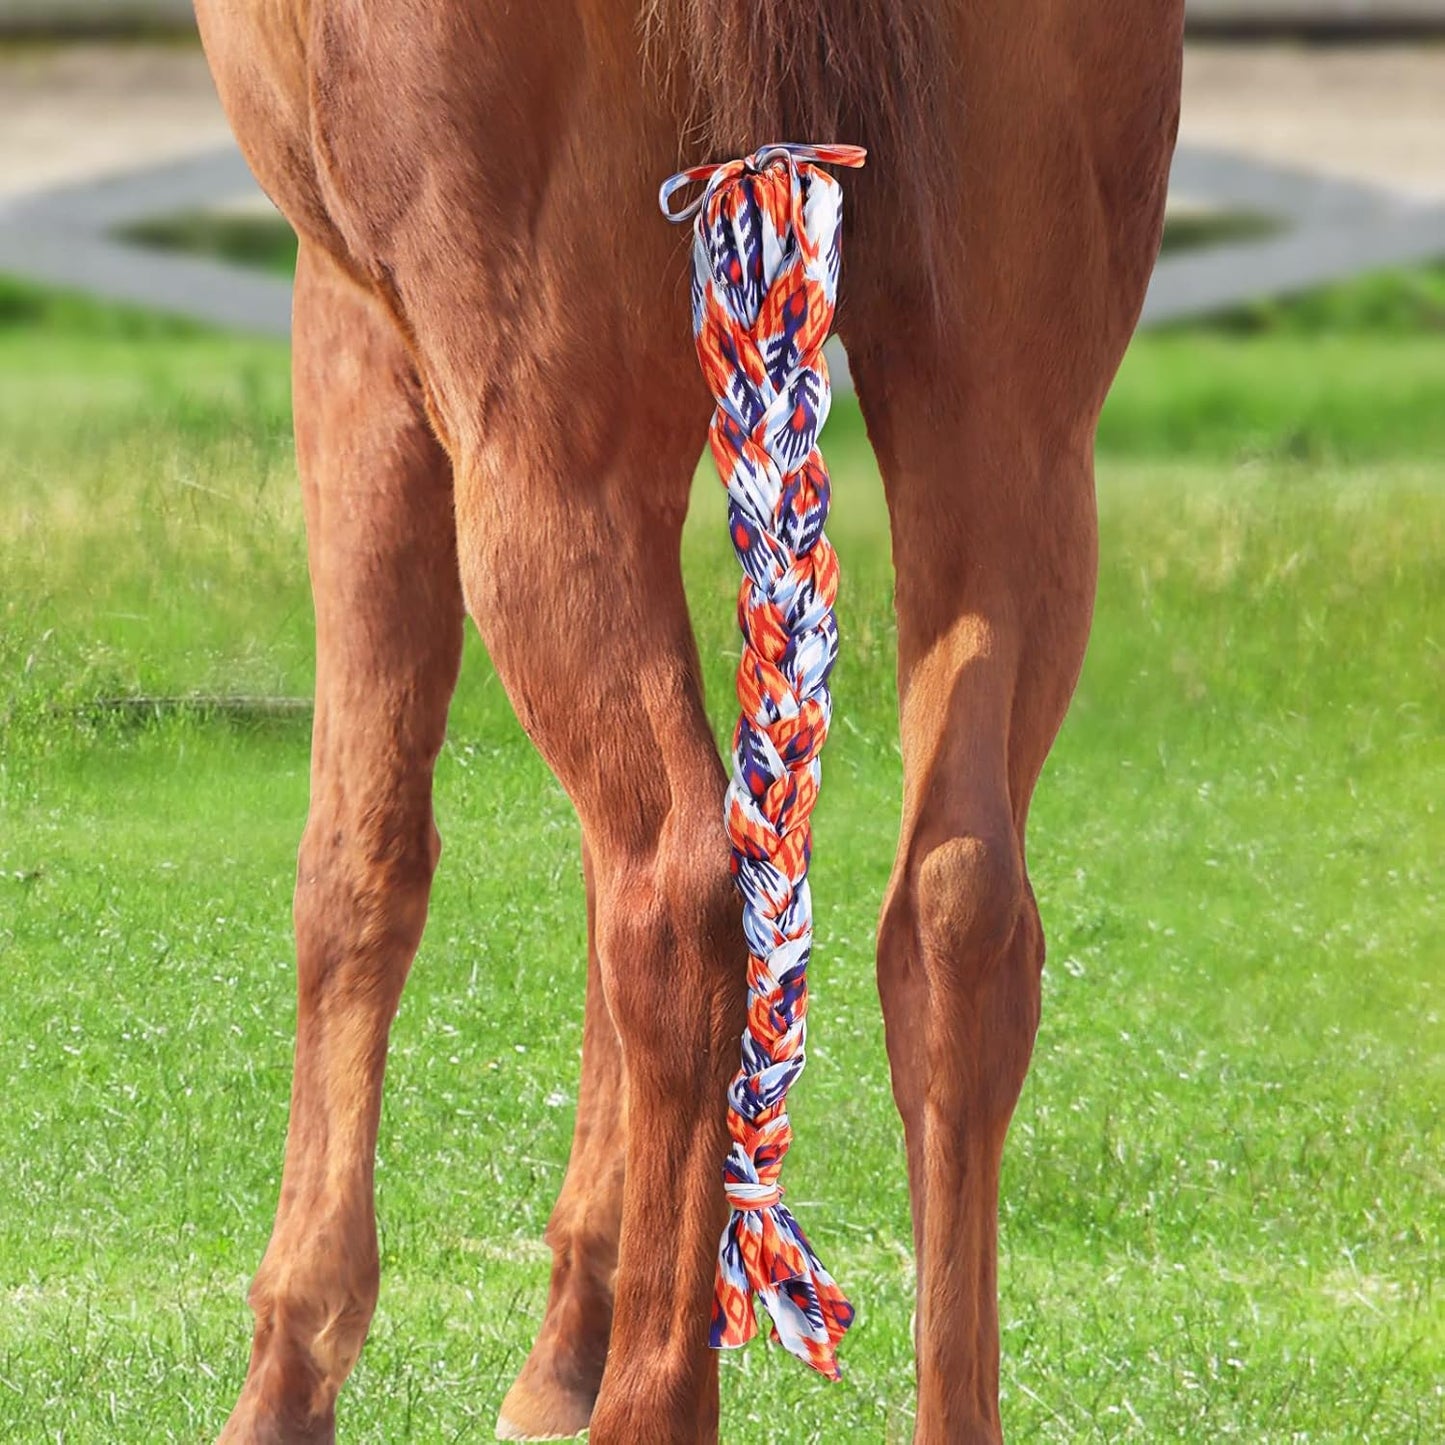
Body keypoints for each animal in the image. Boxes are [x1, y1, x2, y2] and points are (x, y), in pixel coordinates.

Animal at [191, 1, 1184, 1439]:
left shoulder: (359, 330)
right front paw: (570, 1331)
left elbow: (357, 867)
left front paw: (290, 1369)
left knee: (680, 893)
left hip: (540, 434)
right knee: (958, 909)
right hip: (1014, 429)